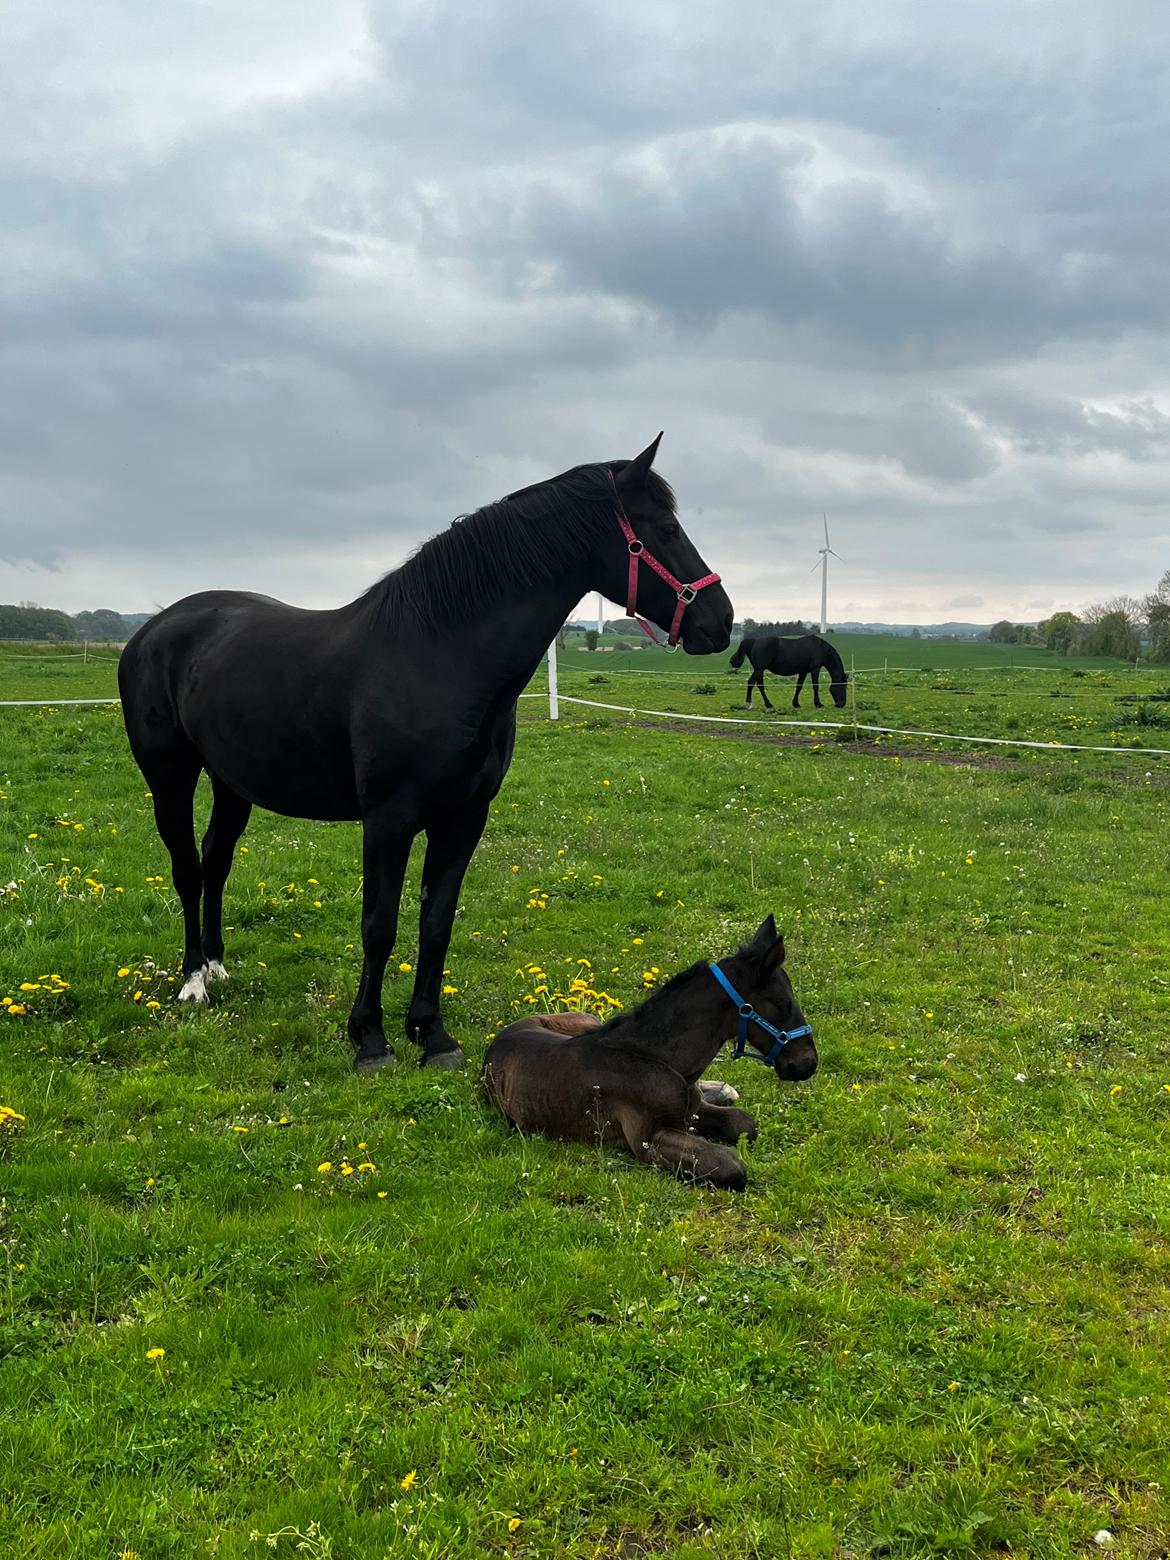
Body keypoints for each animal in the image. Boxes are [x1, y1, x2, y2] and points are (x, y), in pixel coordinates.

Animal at [124, 439, 736, 1073]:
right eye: (665, 529)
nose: (722, 621)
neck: (439, 655)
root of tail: (154, 627)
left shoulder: (464, 817)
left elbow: (436, 922)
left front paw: (432, 1034)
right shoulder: (388, 819)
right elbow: (379, 926)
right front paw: (370, 1039)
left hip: (231, 783)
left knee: (216, 861)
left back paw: (217, 967)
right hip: (170, 777)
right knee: (187, 869)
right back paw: (193, 982)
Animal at [480, 911, 817, 1191]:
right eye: (783, 1004)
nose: (808, 1063)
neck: (661, 1060)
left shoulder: (693, 1111)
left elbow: (744, 1123)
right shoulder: (648, 1140)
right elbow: (731, 1166)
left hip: (588, 1020)